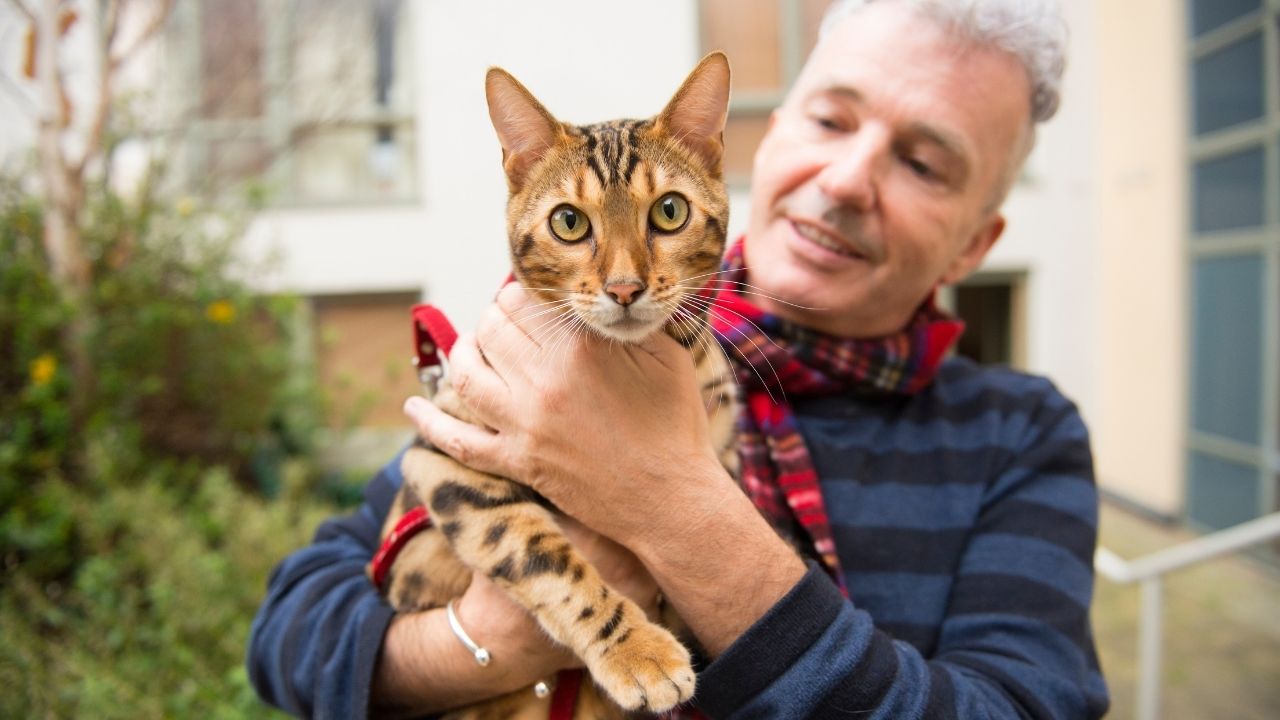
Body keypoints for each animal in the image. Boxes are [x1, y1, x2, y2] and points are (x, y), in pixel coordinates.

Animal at [371, 51, 737, 717]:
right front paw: (637, 651)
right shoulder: (440, 466)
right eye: (569, 222)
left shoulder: (722, 456)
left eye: (670, 211)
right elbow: (546, 560)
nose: (624, 288)